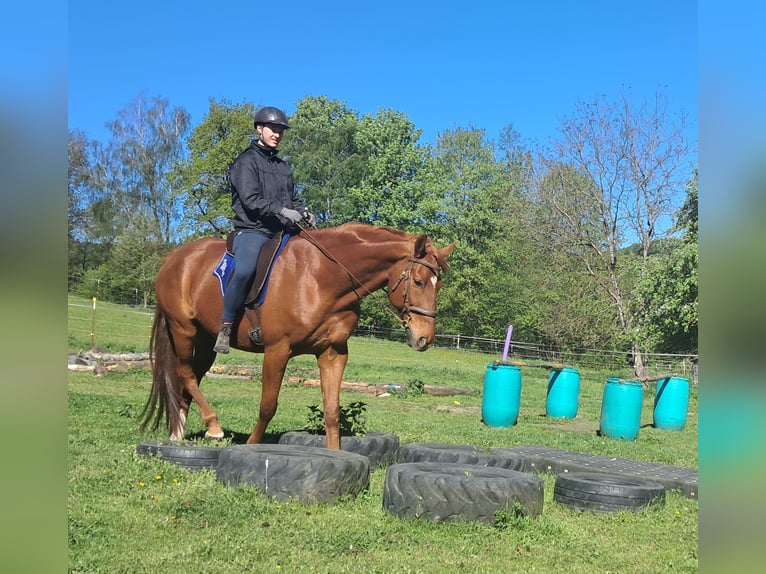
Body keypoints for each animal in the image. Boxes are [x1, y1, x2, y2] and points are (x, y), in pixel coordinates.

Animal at [140, 223, 455, 449]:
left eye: (439, 286)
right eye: (419, 282)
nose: (424, 338)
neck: (320, 278)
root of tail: (174, 258)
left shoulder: (333, 353)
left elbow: (332, 411)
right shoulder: (277, 350)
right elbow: (267, 407)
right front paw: (251, 446)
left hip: (207, 340)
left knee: (190, 378)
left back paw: (178, 431)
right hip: (184, 329)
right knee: (184, 373)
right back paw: (212, 425)